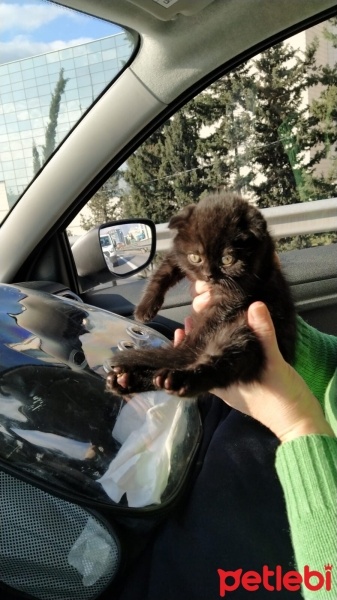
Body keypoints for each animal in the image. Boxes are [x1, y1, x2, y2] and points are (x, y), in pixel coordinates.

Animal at [106, 193, 296, 398]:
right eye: (195, 257)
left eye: (227, 259)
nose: (208, 275)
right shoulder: (177, 255)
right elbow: (161, 275)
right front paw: (145, 309)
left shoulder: (239, 289)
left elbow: (209, 319)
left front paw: (185, 346)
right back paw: (126, 380)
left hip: (243, 337)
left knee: (219, 367)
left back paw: (176, 378)